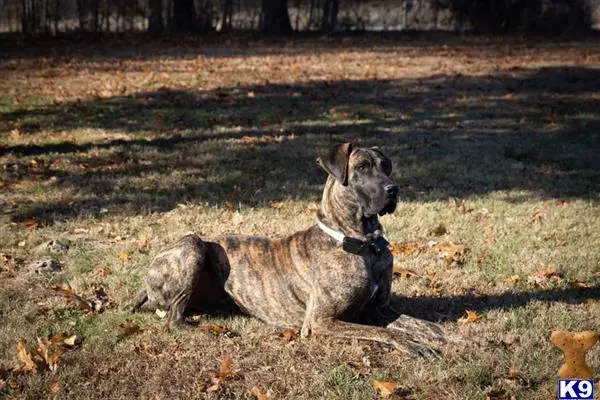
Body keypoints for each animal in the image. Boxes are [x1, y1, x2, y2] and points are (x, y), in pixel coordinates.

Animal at [131, 143, 454, 356]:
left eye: (386, 167)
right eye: (362, 168)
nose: (393, 189)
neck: (362, 243)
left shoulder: (381, 309)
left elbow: (428, 326)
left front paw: (457, 337)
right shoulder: (321, 322)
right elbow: (380, 332)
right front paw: (411, 344)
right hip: (193, 245)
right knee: (173, 317)